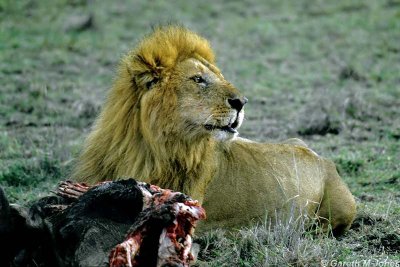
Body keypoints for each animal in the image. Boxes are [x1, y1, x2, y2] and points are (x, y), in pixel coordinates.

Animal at [72, 25, 356, 237]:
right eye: (198, 79)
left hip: (342, 208)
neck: (148, 147)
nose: (241, 102)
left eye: (219, 76)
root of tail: (322, 158)